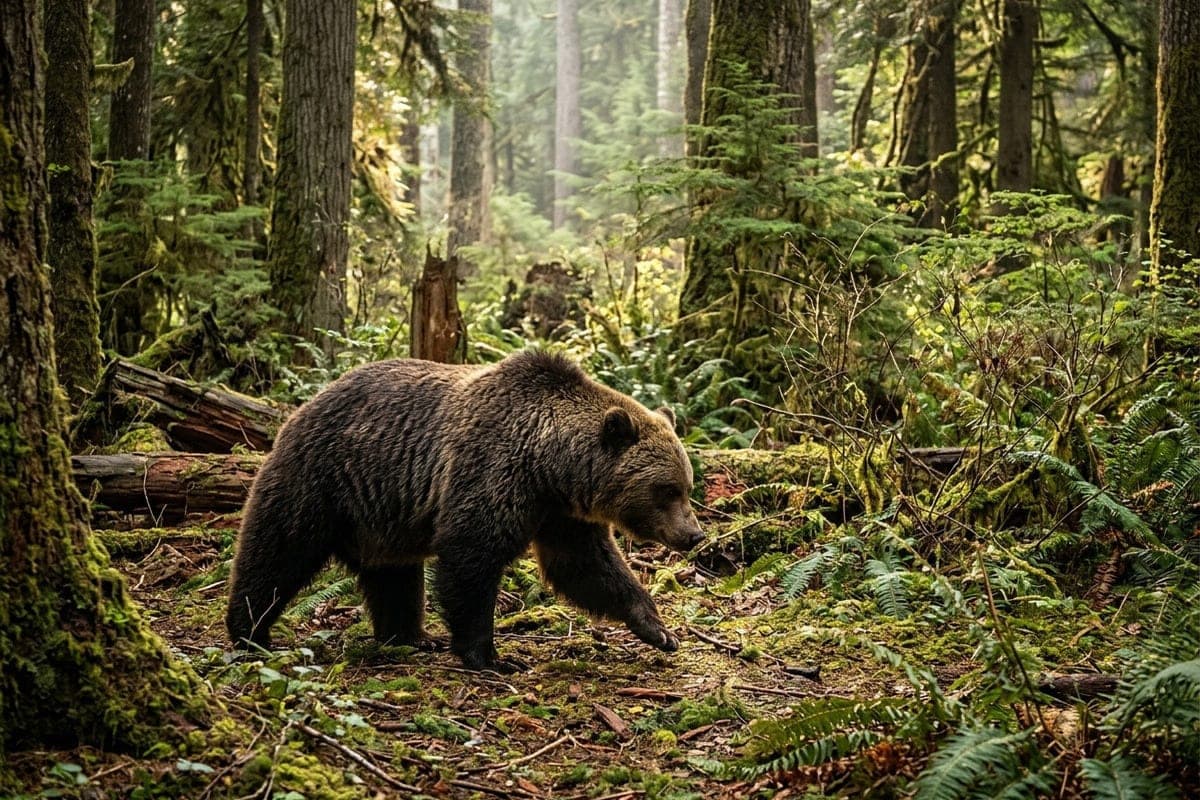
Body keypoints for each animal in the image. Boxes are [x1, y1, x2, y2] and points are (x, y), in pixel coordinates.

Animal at [225, 350, 704, 671]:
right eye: (666, 490)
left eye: (686, 486)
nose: (694, 534)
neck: (549, 465)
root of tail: (301, 408)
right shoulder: (492, 470)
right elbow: (471, 558)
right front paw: (490, 655)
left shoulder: (559, 514)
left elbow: (586, 567)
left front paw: (658, 629)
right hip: (322, 481)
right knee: (276, 552)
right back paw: (251, 633)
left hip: (382, 517)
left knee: (394, 577)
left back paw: (411, 637)